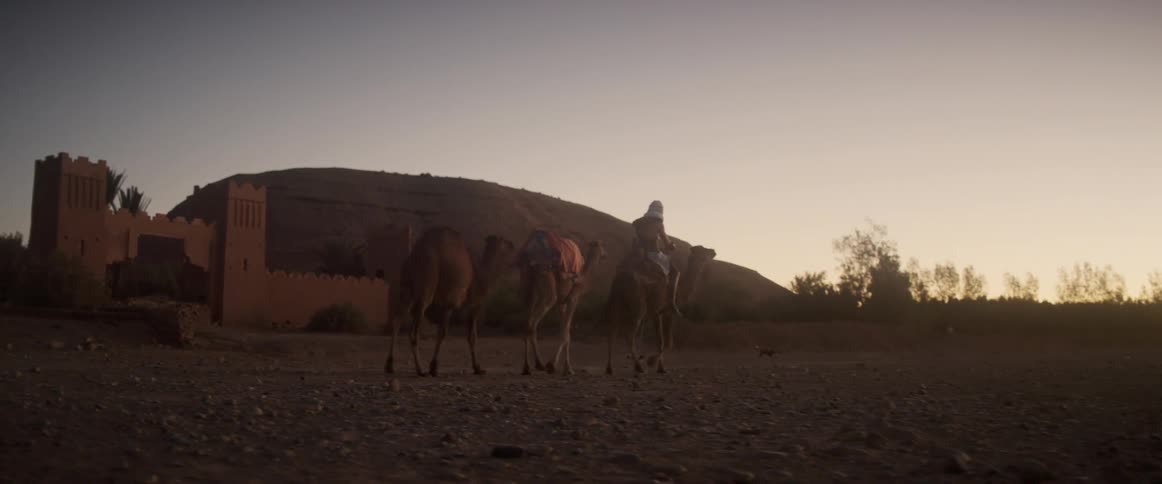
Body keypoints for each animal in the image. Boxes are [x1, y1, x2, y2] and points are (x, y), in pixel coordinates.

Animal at [384, 227, 516, 377]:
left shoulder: (446, 305)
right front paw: (476, 367)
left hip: (406, 288)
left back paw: (390, 365)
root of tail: (414, 255)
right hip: (427, 283)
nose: (514, 246)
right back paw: (420, 369)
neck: (482, 275)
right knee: (413, 331)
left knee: (397, 321)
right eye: (506, 243)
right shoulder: (471, 304)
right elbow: (469, 336)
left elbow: (442, 332)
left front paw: (434, 366)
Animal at [517, 231, 606, 376]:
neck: (582, 278)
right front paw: (560, 367)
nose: (606, 254)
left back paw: (527, 367)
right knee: (533, 323)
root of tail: (533, 248)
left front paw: (563, 367)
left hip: (527, 284)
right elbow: (566, 334)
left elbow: (564, 332)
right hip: (546, 275)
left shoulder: (562, 303)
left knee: (526, 322)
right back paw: (540, 364)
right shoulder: (573, 299)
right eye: (602, 246)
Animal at [605, 245, 717, 375]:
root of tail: (619, 280)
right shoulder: (663, 312)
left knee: (612, 332)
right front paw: (652, 363)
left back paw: (610, 368)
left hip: (617, 304)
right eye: (704, 250)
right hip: (638, 306)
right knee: (628, 335)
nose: (713, 251)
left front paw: (658, 366)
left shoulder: (659, 313)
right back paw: (639, 367)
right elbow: (666, 342)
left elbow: (662, 341)